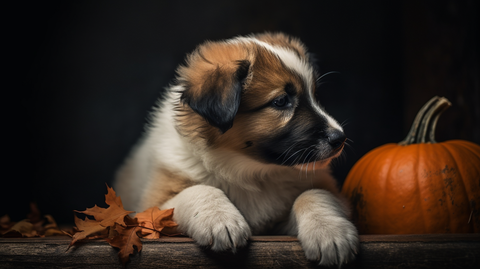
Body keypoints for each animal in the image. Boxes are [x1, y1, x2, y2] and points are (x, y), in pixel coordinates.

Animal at [115, 32, 356, 264]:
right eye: (281, 101)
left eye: (314, 96)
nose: (340, 138)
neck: (250, 171)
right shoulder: (152, 208)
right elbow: (198, 190)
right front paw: (220, 220)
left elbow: (313, 194)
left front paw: (329, 232)